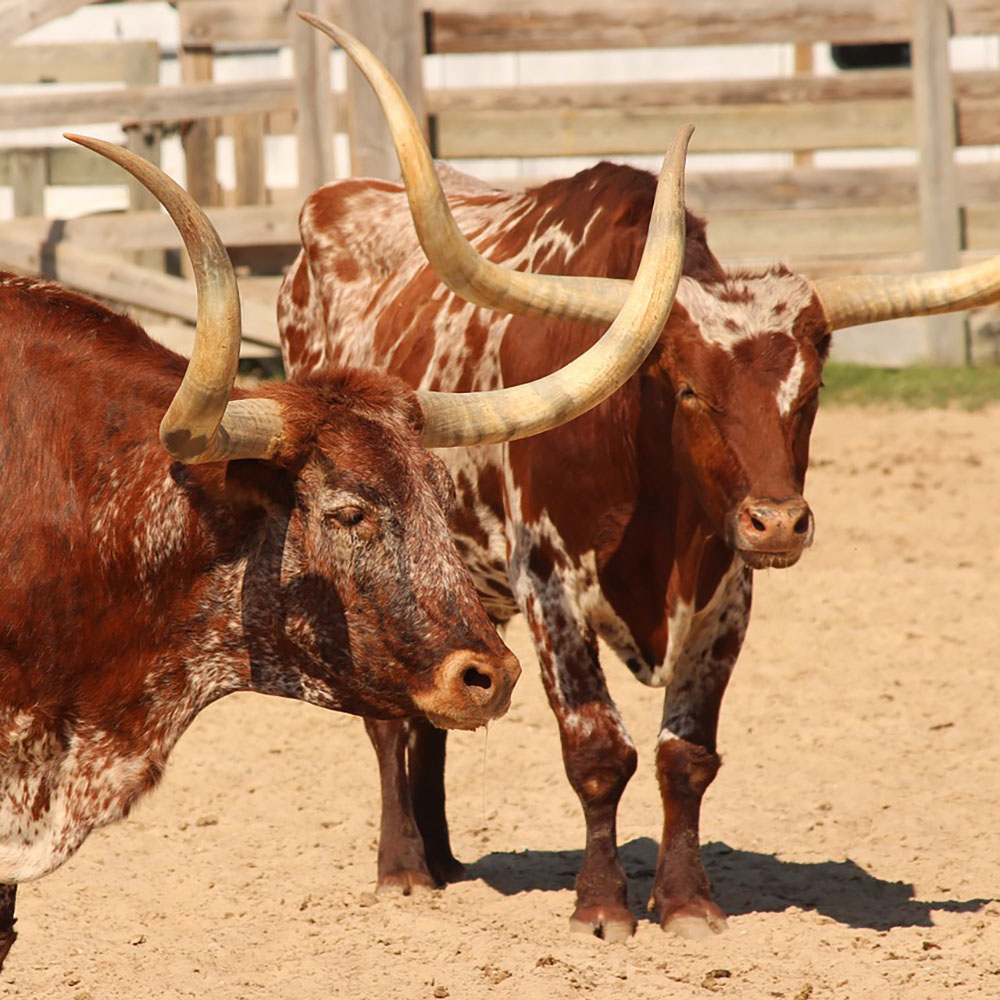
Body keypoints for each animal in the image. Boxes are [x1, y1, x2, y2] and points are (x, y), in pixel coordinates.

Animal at [278, 17, 1000, 936]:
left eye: (812, 388)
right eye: (688, 388)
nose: (778, 521)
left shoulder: (726, 595)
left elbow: (685, 756)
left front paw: (686, 903)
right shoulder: (549, 585)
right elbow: (597, 749)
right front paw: (599, 907)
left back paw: (444, 861)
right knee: (387, 721)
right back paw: (404, 868)